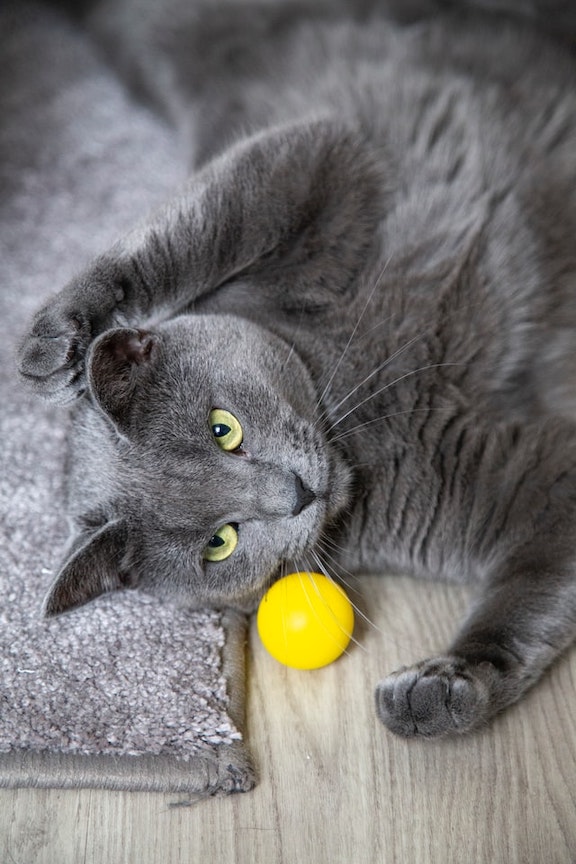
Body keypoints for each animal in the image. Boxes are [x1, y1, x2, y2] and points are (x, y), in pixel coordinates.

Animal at [15, 0, 576, 740]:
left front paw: (61, 338)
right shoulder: (525, 482)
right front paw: (446, 687)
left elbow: (196, 229)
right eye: (220, 543)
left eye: (223, 428)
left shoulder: (321, 157)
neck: (359, 413)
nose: (297, 496)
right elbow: (530, 598)